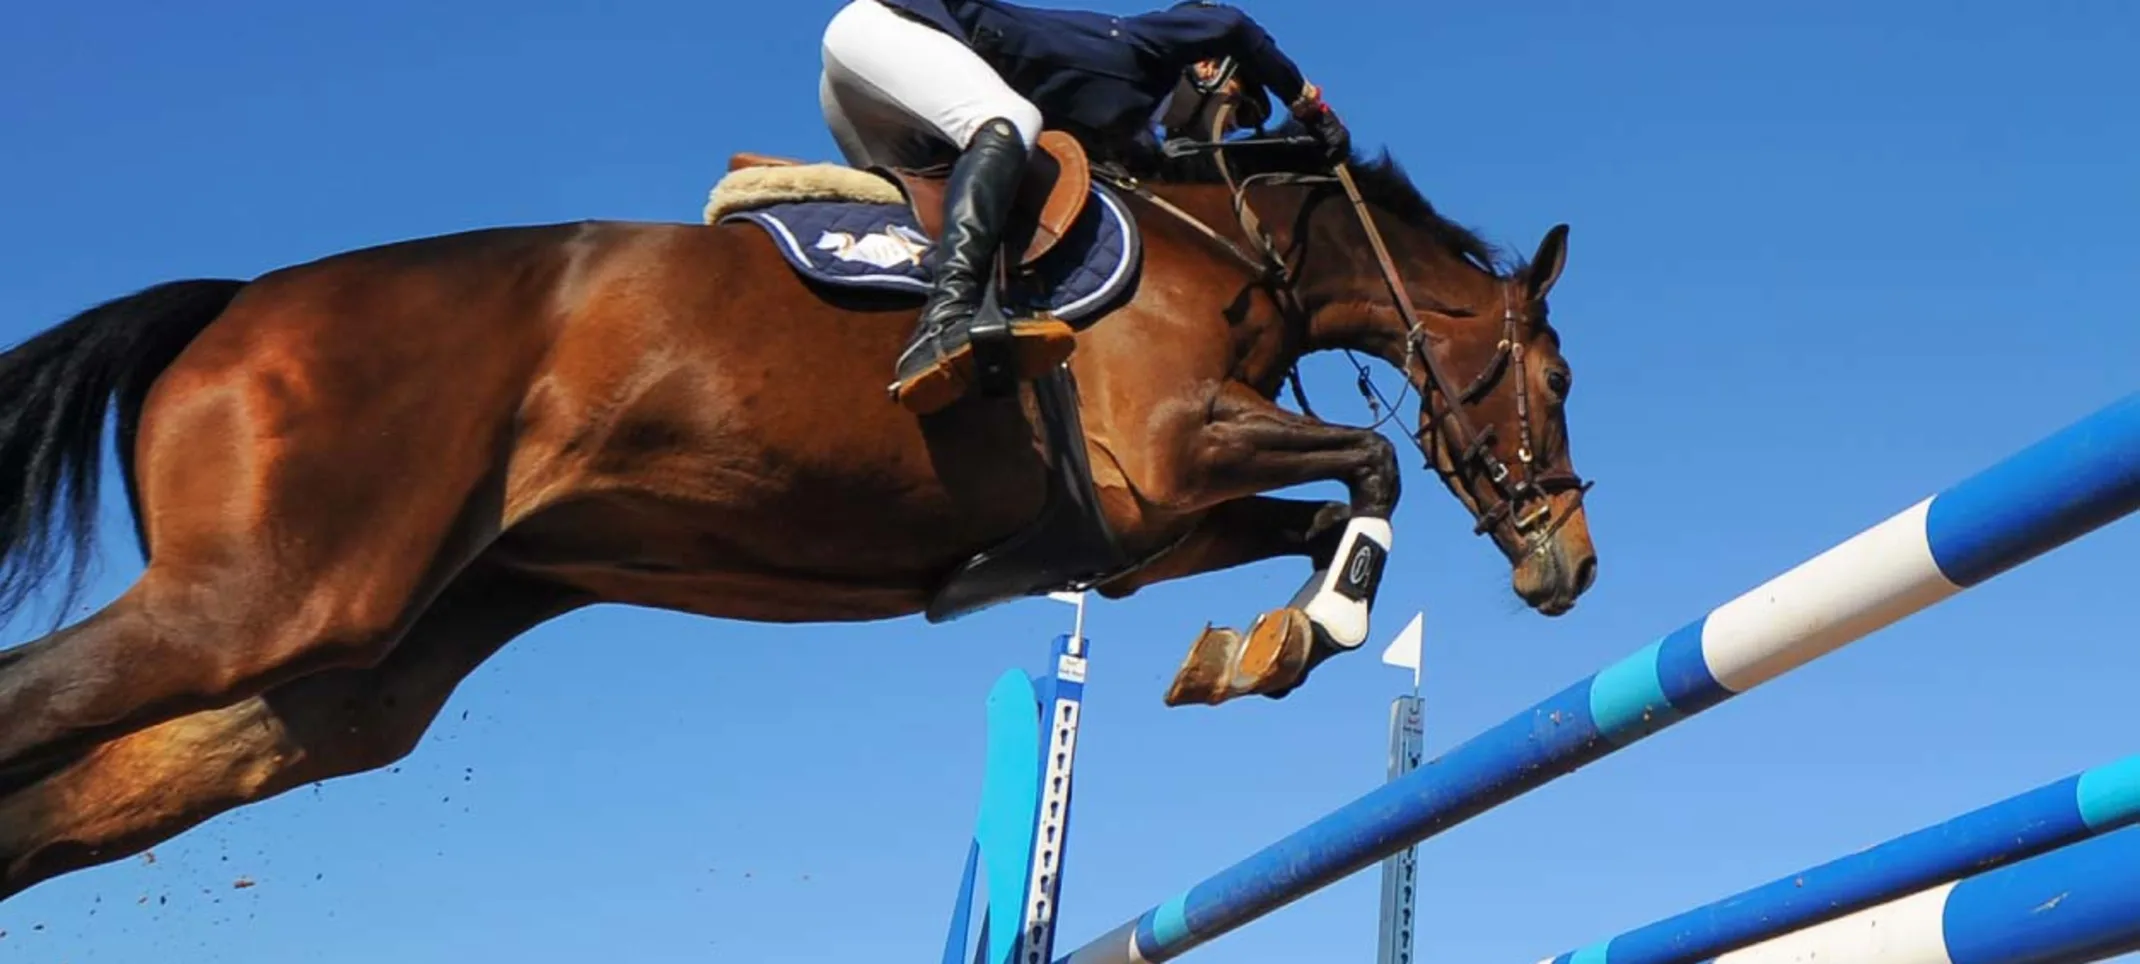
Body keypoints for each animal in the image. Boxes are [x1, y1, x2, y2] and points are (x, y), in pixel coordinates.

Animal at [0, 124, 1600, 899]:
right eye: (1560, 373)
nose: (1571, 566)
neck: (1237, 246)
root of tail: (232, 304)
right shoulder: (1171, 453)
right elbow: (1371, 467)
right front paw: (1305, 633)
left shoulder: (1149, 527)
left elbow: (1322, 511)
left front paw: (1258, 646)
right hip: (260, 601)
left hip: (343, 683)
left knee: (60, 802)